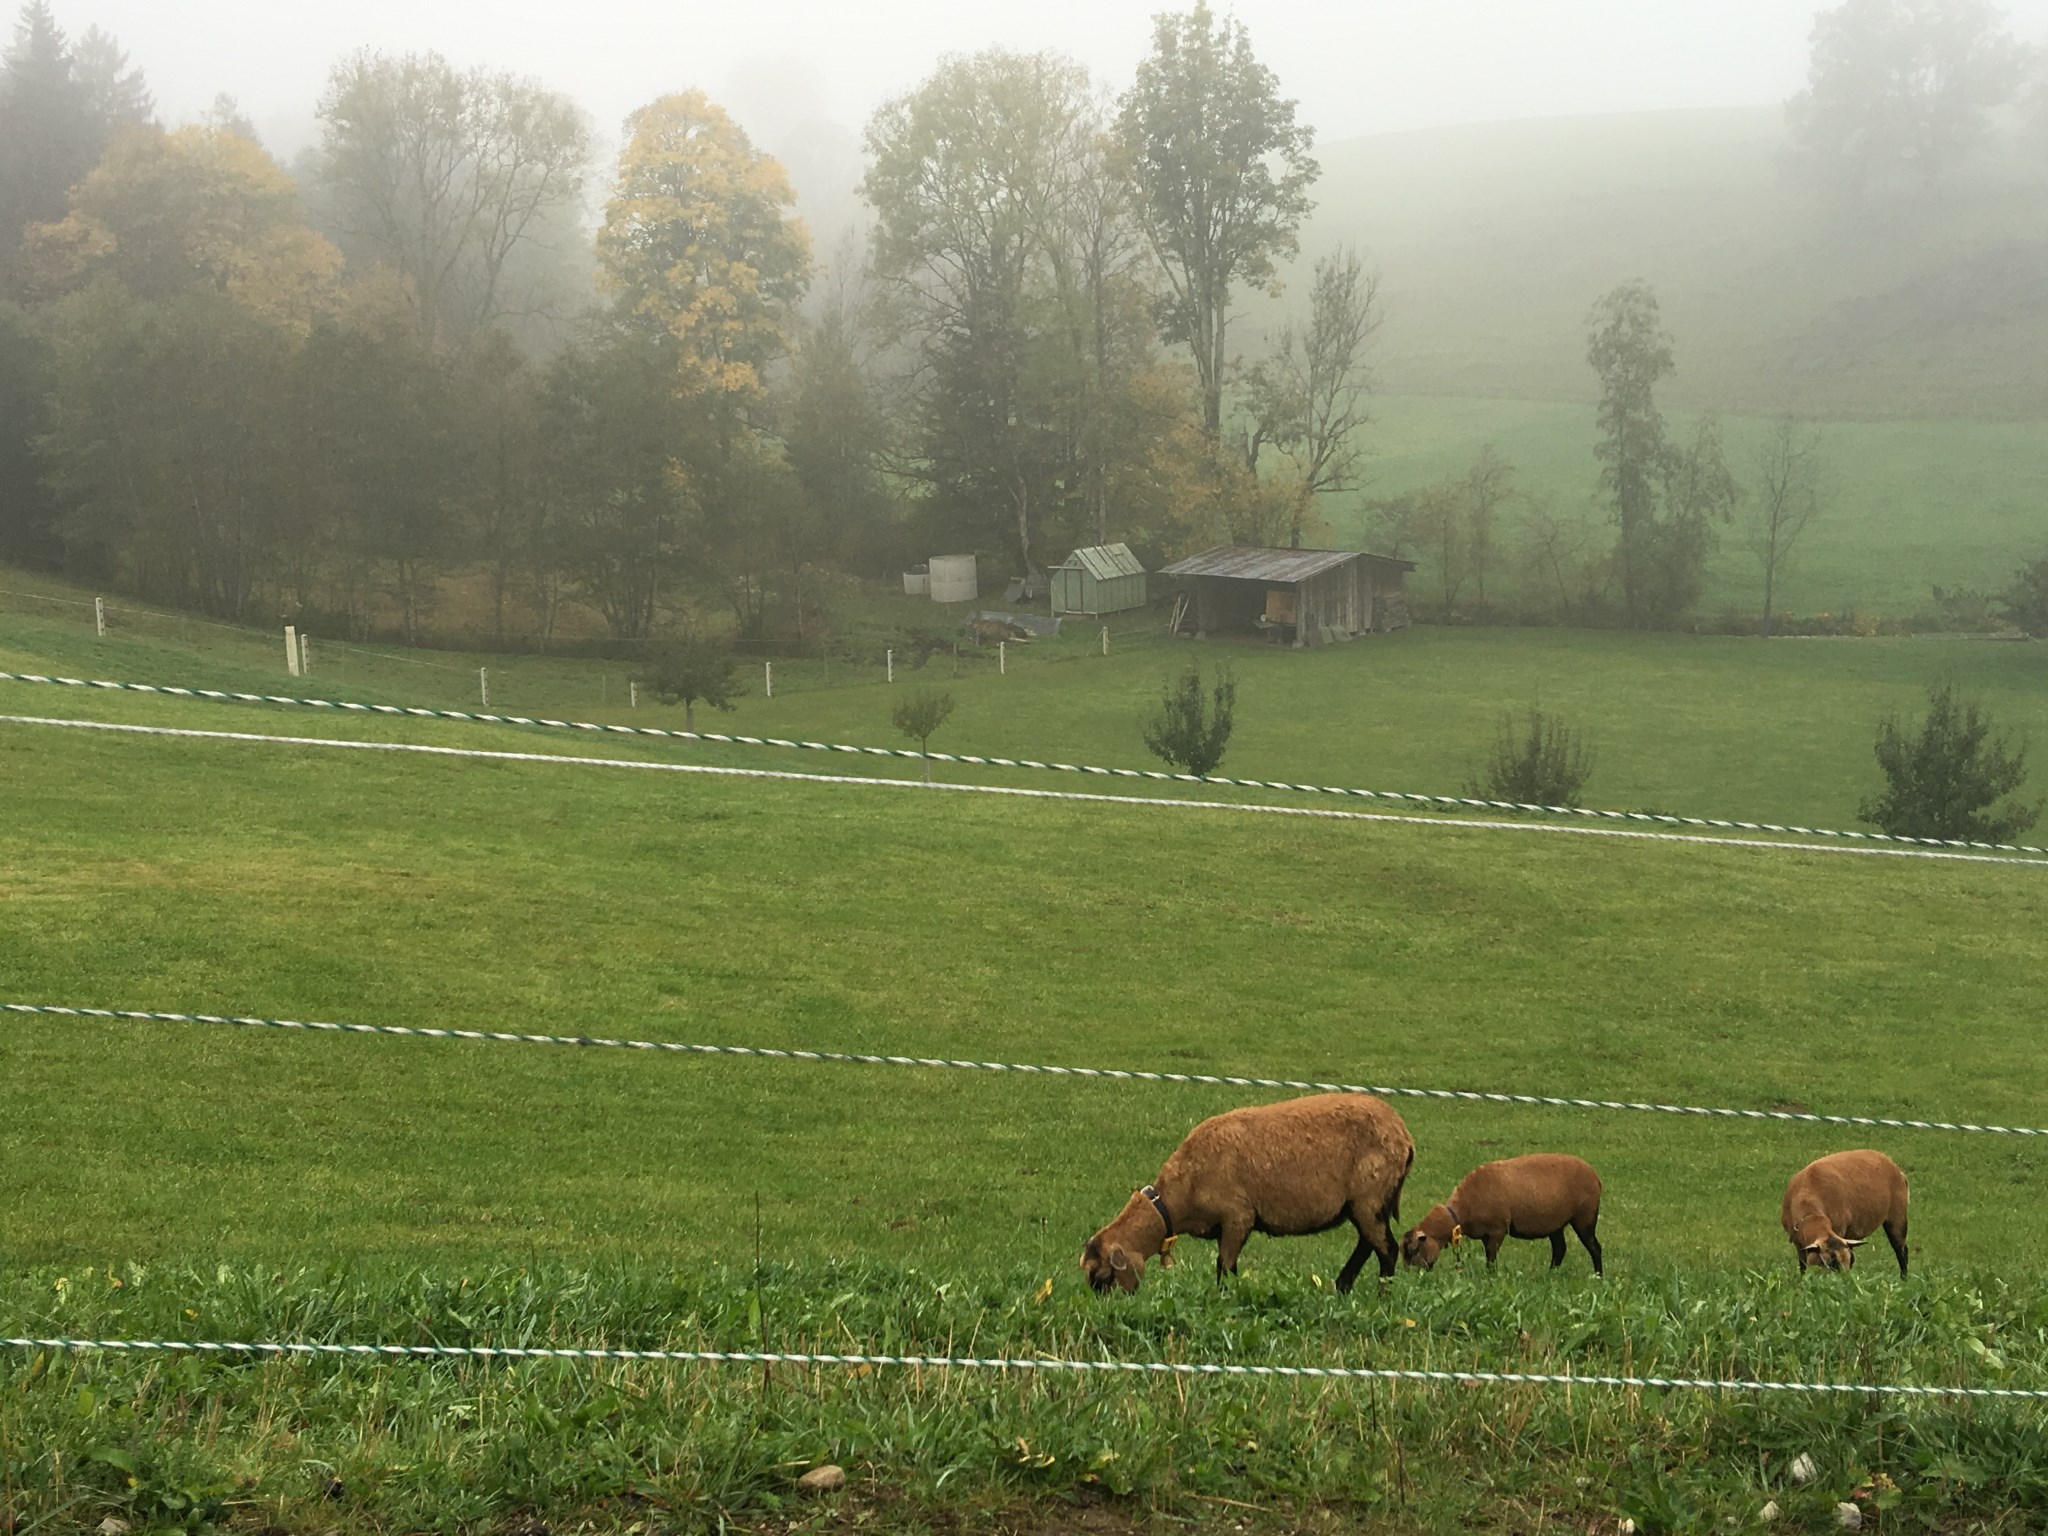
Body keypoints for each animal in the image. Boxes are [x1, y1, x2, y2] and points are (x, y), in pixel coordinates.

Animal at [1079, 1092, 1414, 1295]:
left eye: (1102, 1277)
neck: (1176, 1200)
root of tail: (1404, 1135)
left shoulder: (1237, 1217)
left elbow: (1225, 1267)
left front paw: (1223, 1300)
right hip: (1363, 1203)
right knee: (1367, 1243)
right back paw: (1343, 1287)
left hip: (1371, 1195)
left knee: (1387, 1249)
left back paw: (1382, 1295)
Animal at [1400, 1154, 1604, 1276]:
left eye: (1413, 1250)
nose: (1409, 1278)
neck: (1459, 1215)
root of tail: (1595, 1175)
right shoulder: (1486, 1235)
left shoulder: (1497, 1230)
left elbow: (1491, 1260)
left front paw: (1491, 1278)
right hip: (1555, 1222)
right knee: (1560, 1248)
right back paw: (1550, 1275)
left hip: (1585, 1217)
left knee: (1595, 1247)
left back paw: (1599, 1276)